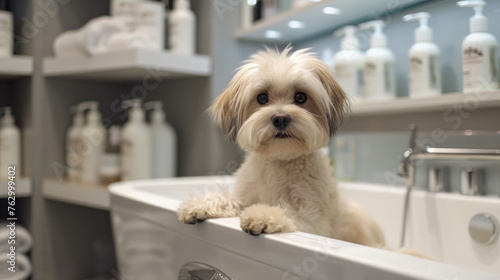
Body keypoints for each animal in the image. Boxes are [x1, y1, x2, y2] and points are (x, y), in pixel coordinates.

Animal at [178, 46, 384, 249]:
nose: (280, 118)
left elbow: (288, 211)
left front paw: (261, 215)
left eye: (300, 97)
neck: (280, 161)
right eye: (262, 98)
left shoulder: (314, 221)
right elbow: (231, 199)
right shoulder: (246, 196)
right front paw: (200, 204)